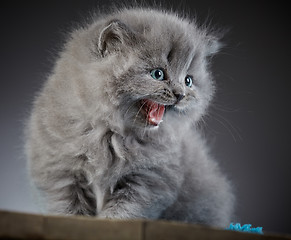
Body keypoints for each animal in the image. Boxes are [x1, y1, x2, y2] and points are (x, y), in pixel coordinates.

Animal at [24, 6, 235, 227]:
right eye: (158, 74)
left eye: (188, 81)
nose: (180, 94)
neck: (110, 133)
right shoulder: (60, 175)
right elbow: (68, 212)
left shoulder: (147, 181)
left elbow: (122, 213)